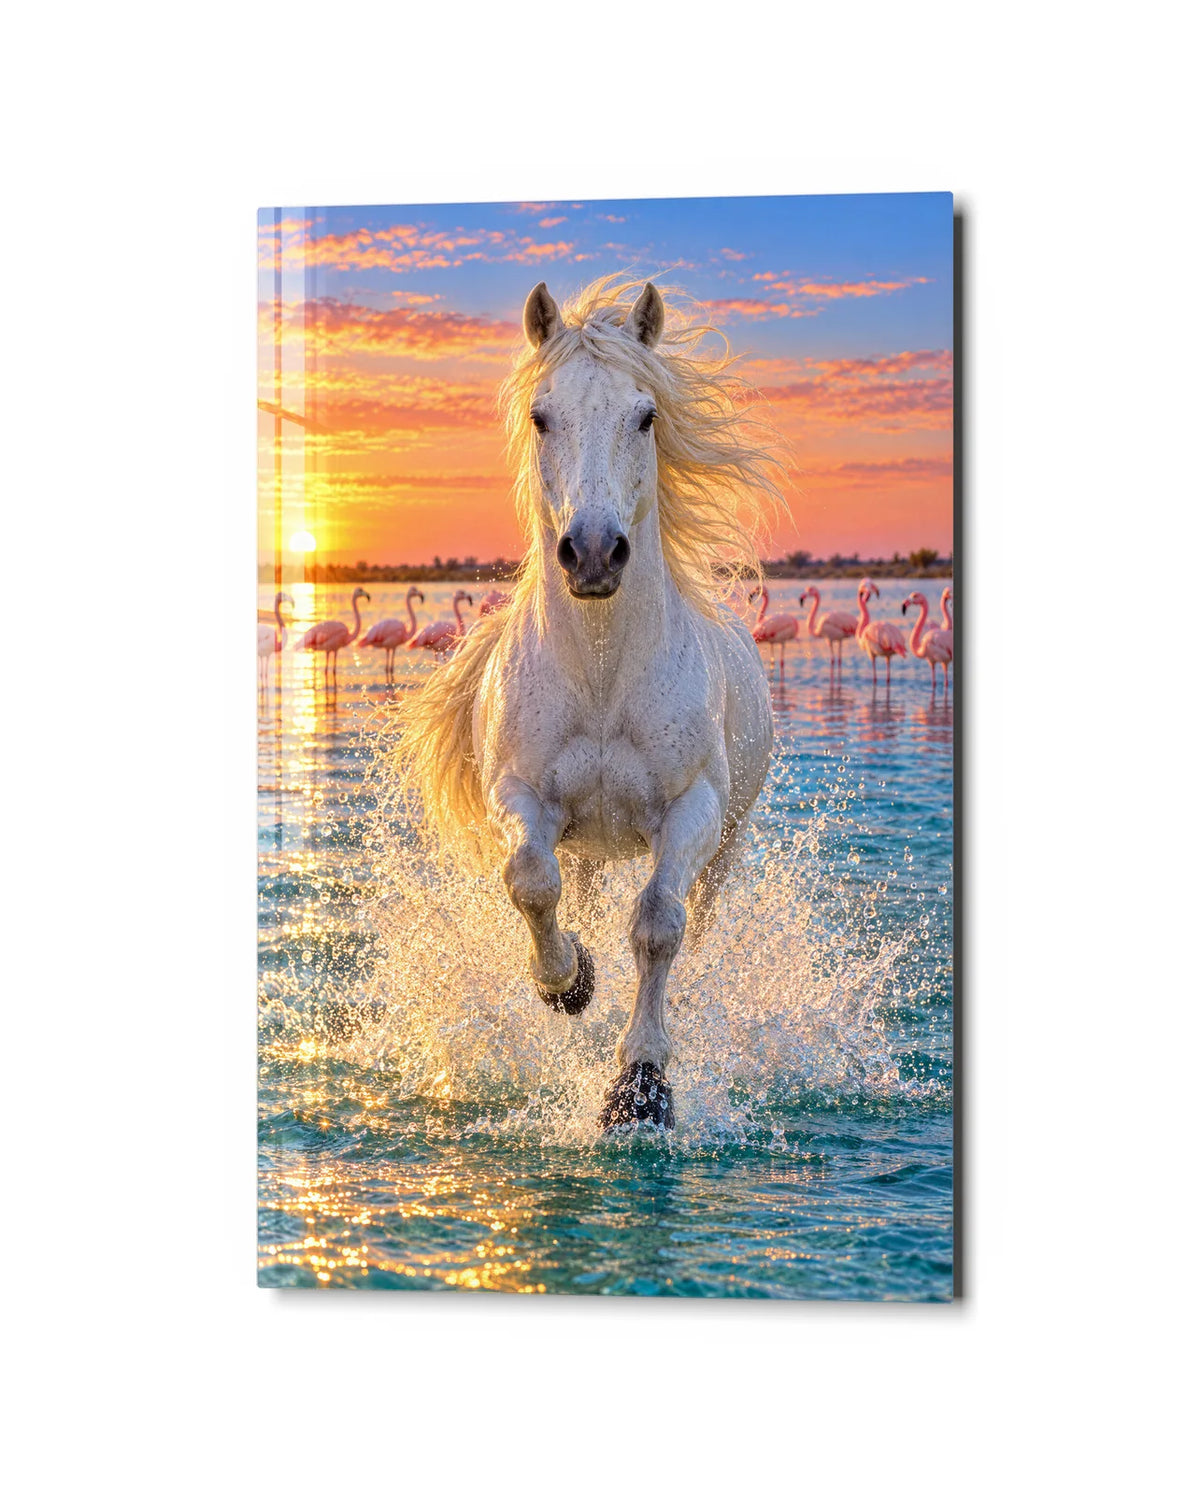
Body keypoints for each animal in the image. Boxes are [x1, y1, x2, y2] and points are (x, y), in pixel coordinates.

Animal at [393, 277, 780, 1132]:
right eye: (543, 416)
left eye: (646, 416)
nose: (595, 553)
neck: (602, 676)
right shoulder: (521, 794)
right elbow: (531, 882)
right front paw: (568, 982)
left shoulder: (694, 808)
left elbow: (659, 926)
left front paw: (640, 1086)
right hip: (591, 843)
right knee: (576, 886)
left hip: (725, 846)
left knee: (696, 921)